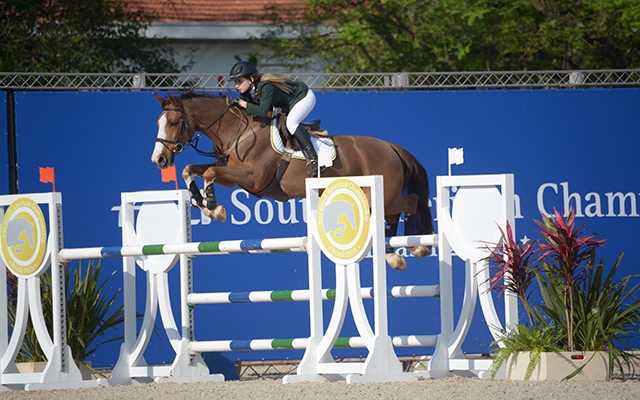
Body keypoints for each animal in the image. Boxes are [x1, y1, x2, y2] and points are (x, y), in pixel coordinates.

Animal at [151, 92, 436, 270]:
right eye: (158, 123)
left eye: (174, 123)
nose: (159, 160)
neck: (239, 130)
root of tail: (391, 147)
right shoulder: (232, 175)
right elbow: (190, 169)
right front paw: (202, 202)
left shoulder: (252, 177)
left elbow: (209, 173)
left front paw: (214, 207)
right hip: (376, 198)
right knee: (393, 216)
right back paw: (394, 256)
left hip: (384, 194)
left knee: (411, 202)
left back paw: (418, 247)